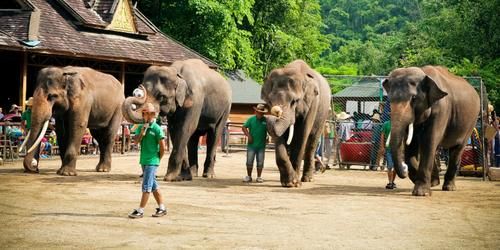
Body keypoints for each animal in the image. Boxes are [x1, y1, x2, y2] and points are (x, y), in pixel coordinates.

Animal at [262, 59, 332, 187]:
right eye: (269, 100)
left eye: (294, 101)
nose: (272, 111)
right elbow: (280, 136)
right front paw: (288, 183)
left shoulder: (313, 103)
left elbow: (302, 134)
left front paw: (295, 183)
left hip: (323, 115)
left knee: (312, 142)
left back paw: (308, 179)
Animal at [382, 65, 480, 196]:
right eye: (390, 99)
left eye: (414, 98)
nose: (404, 170)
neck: (424, 73)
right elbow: (411, 145)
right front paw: (423, 182)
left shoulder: (442, 110)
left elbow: (429, 140)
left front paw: (421, 193)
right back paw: (435, 182)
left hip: (470, 123)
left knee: (457, 149)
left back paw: (449, 187)